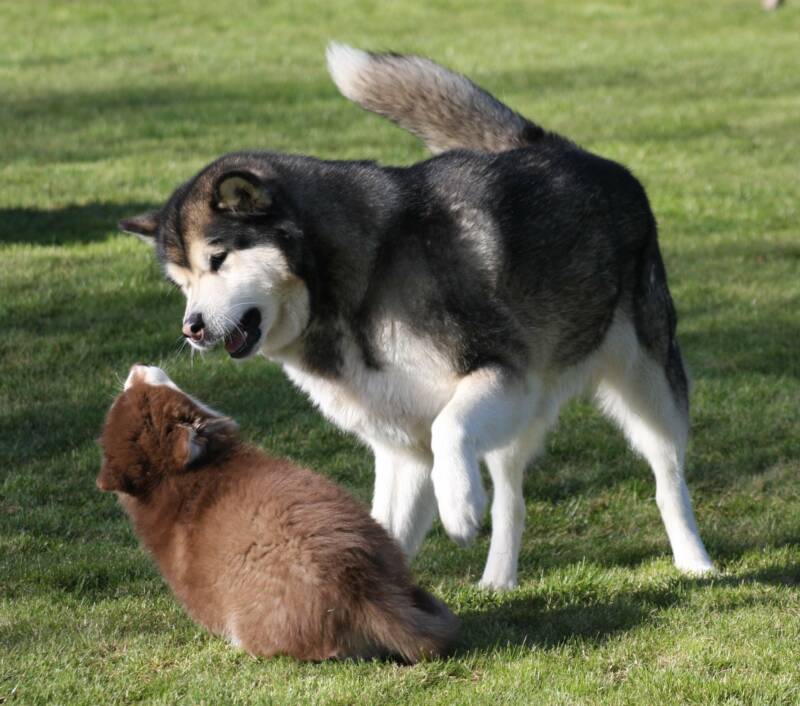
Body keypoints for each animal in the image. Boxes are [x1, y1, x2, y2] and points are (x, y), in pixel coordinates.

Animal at [123, 44, 712, 588]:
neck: (355, 282)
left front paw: (459, 507)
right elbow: (384, 529)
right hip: (521, 421)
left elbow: (451, 427)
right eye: (181, 283)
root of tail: (567, 150)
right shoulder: (404, 447)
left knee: (667, 477)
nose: (191, 328)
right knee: (513, 498)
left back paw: (695, 560)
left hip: (647, 388)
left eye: (218, 259)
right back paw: (498, 578)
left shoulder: (500, 374)